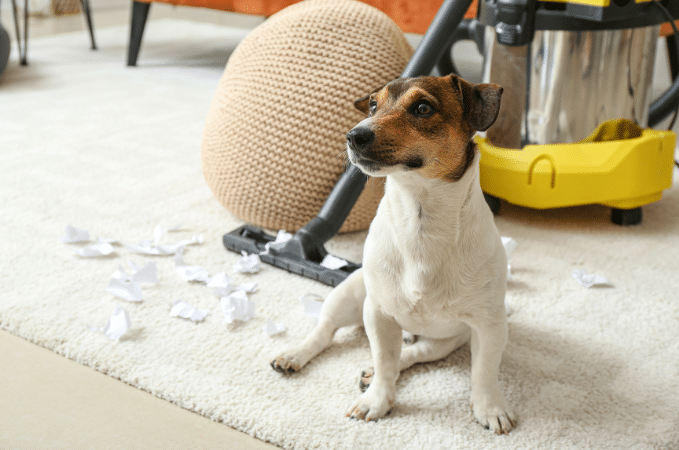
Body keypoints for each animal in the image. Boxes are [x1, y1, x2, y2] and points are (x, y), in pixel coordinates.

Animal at [270, 74, 516, 436]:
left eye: (423, 108)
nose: (354, 135)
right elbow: (384, 359)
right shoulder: (378, 312)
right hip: (349, 294)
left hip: (447, 339)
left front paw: (490, 408)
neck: (419, 220)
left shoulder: (489, 325)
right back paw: (295, 355)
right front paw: (376, 400)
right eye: (374, 105)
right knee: (324, 331)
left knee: (414, 351)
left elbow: (484, 371)